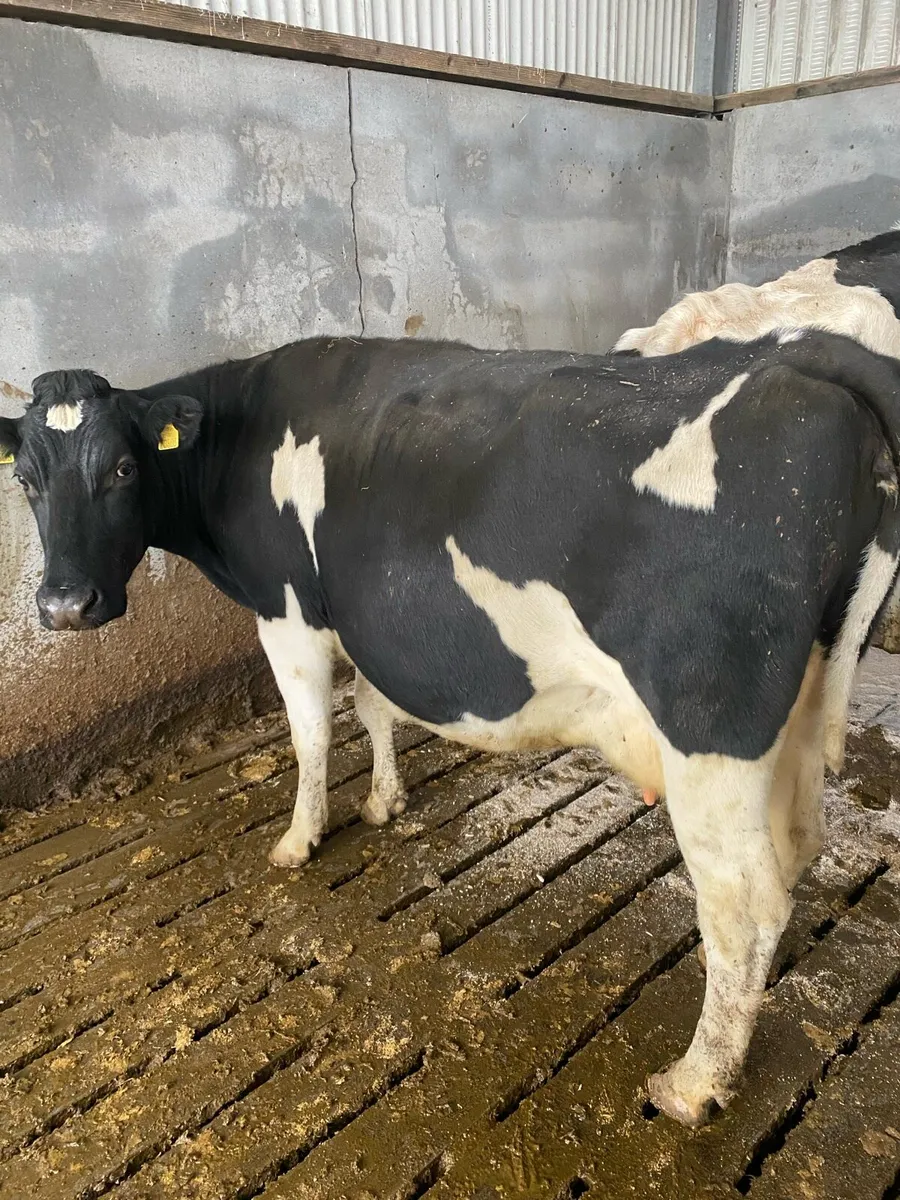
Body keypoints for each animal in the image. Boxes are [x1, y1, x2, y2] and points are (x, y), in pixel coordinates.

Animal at [2, 330, 899, 1128]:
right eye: (29, 481)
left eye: (122, 468)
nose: (64, 606)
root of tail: (816, 376)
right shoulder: (365, 618)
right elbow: (370, 707)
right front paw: (384, 802)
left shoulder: (288, 609)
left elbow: (309, 732)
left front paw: (299, 839)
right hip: (805, 701)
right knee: (795, 845)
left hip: (709, 723)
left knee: (744, 902)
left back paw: (695, 1081)